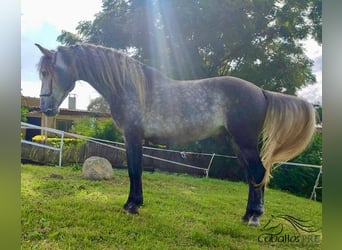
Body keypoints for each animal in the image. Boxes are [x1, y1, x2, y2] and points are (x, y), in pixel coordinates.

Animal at [34, 43, 316, 227]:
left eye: (48, 72)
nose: (46, 108)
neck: (129, 86)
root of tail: (261, 92)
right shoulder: (130, 138)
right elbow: (134, 170)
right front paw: (132, 204)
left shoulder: (133, 136)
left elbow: (134, 170)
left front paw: (132, 206)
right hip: (237, 144)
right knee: (252, 175)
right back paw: (247, 214)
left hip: (244, 141)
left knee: (258, 173)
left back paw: (255, 217)